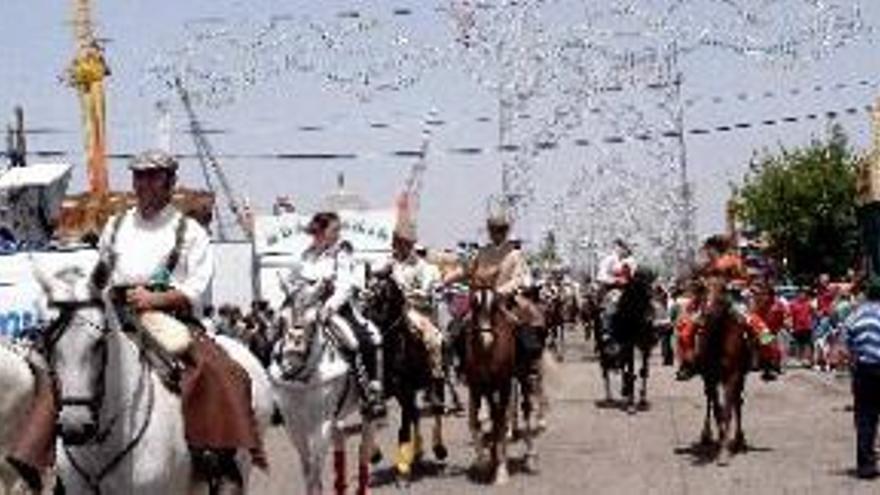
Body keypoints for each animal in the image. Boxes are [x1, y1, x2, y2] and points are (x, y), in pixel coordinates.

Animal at [270, 276, 376, 495]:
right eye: (281, 320)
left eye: (314, 321)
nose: (290, 363)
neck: (303, 379)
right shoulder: (293, 425)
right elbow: (308, 470)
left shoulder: (322, 424)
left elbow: (316, 472)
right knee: (341, 442)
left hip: (367, 408)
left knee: (365, 446)